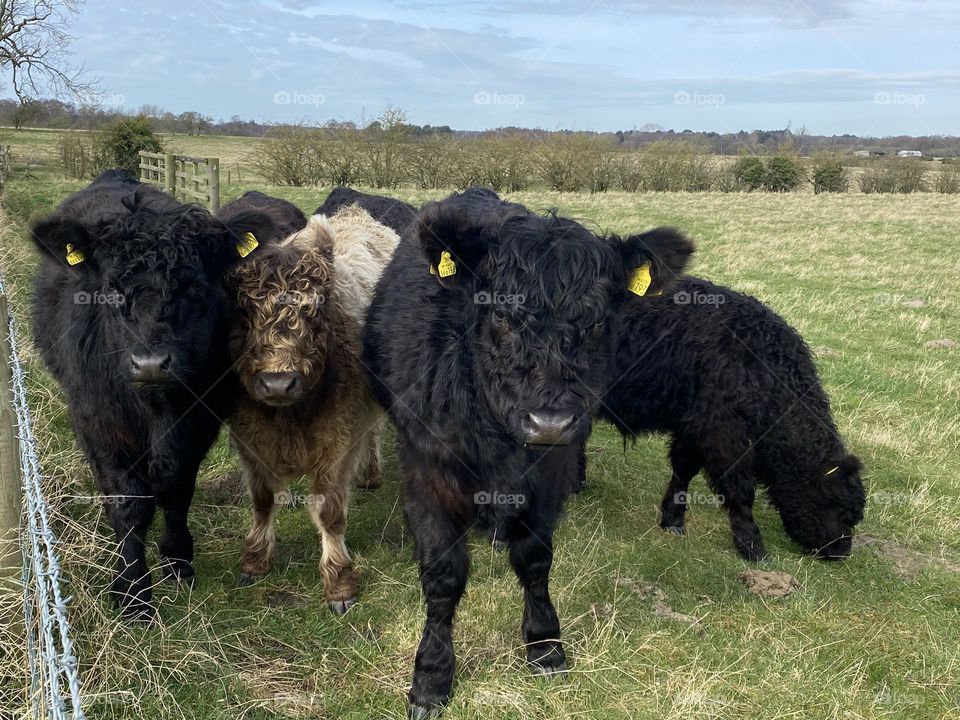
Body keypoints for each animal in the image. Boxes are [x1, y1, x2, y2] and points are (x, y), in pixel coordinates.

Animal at [30, 170, 276, 620]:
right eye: (111, 288)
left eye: (195, 287)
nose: (149, 363)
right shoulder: (98, 421)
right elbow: (129, 502)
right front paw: (132, 591)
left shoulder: (201, 416)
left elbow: (175, 487)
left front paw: (178, 561)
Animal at [226, 205, 398, 613]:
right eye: (243, 308)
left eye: (316, 308)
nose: (277, 383)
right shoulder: (249, 439)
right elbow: (262, 499)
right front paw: (255, 560)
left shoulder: (340, 438)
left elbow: (329, 512)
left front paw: (339, 583)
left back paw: (370, 474)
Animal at [362, 189, 694, 717]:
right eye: (500, 314)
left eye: (597, 322)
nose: (550, 422)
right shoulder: (426, 467)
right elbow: (443, 574)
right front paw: (432, 675)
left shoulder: (550, 471)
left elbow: (535, 558)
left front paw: (545, 644)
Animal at [598, 276, 865, 560]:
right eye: (838, 507)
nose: (841, 551)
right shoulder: (722, 431)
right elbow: (739, 488)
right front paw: (752, 543)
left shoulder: (693, 425)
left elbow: (684, 469)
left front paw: (673, 518)